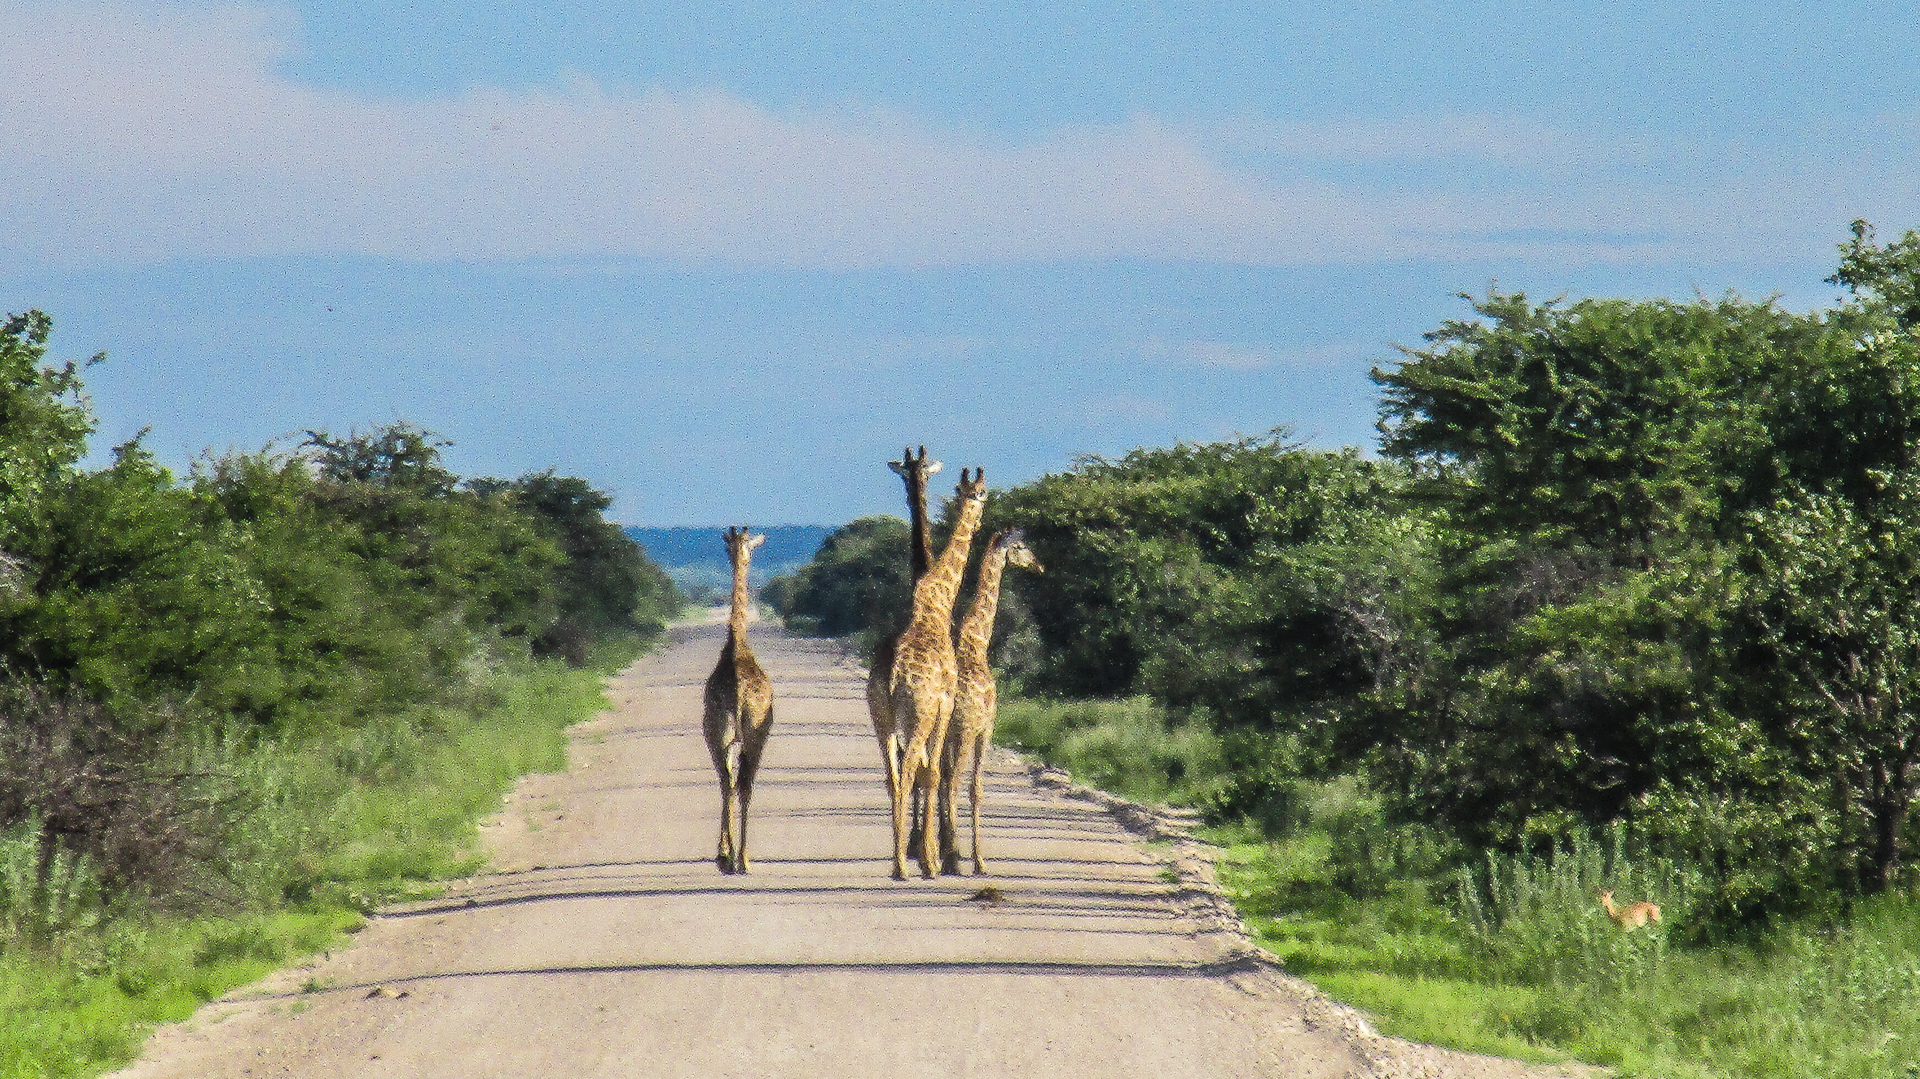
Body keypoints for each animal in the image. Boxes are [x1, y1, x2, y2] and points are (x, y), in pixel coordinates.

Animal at [879, 466, 983, 879]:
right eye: (983, 494)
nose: (980, 520)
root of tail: (892, 674)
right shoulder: (945, 706)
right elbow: (936, 773)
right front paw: (938, 856)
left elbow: (931, 774)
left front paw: (931, 852)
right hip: (921, 715)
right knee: (914, 770)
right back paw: (910, 864)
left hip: (884, 721)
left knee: (893, 775)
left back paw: (901, 859)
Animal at [936, 529, 1044, 875]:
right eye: (1021, 546)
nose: (1039, 565)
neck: (977, 642)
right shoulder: (986, 728)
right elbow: (977, 789)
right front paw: (979, 860)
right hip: (965, 733)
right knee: (953, 785)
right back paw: (956, 859)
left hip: (941, 734)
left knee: (938, 781)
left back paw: (944, 854)